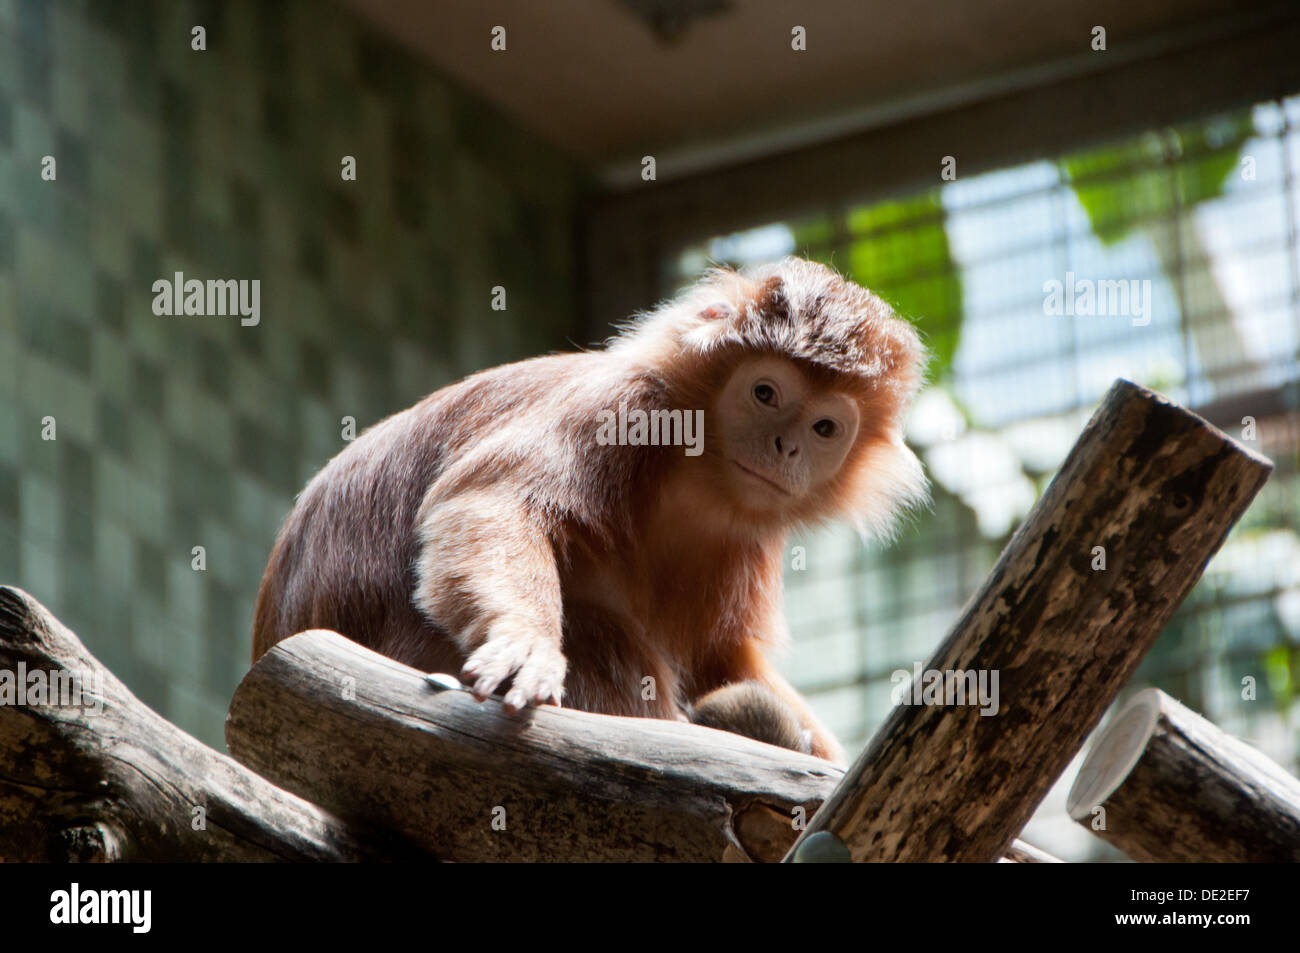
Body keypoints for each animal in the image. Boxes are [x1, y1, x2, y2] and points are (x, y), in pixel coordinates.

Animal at [250, 256, 925, 764]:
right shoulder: (625, 405)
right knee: (601, 628)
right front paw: (523, 644)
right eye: (765, 393)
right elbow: (492, 502)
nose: (786, 446)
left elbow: (722, 657)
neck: (692, 476)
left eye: (824, 428)